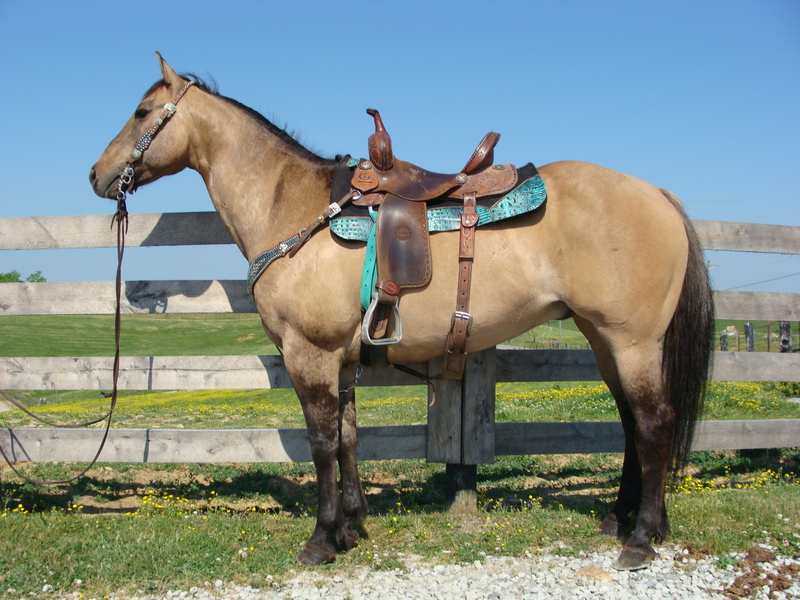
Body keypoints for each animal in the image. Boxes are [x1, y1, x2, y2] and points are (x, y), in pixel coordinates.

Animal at [89, 54, 714, 570]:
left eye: (141, 112)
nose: (97, 174)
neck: (292, 206)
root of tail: (657, 195)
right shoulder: (341, 359)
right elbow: (347, 437)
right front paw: (352, 528)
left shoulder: (309, 354)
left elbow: (321, 442)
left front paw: (321, 539)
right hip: (605, 340)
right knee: (632, 424)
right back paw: (622, 520)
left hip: (631, 341)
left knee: (655, 422)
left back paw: (642, 538)